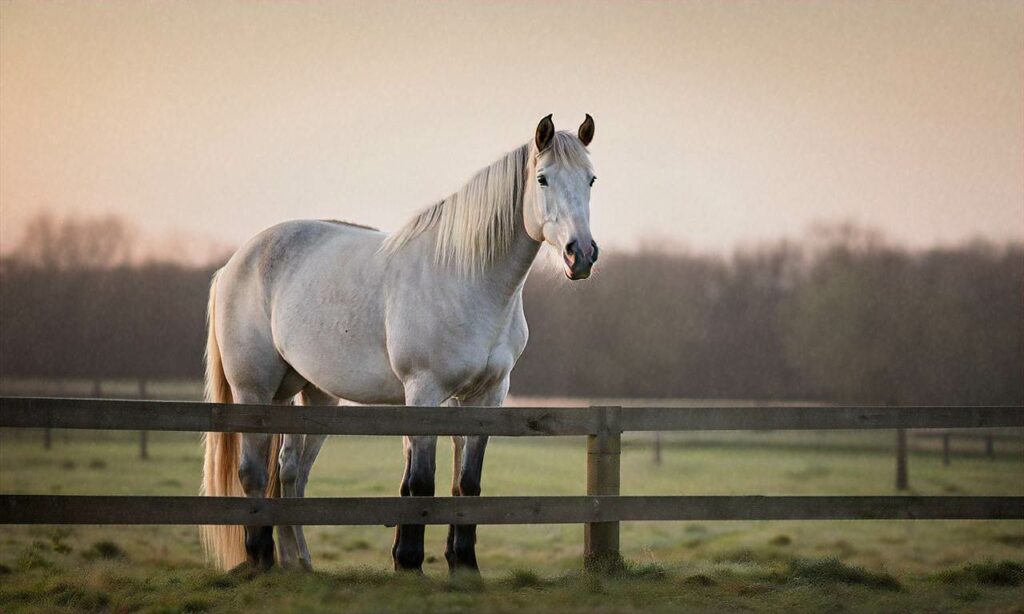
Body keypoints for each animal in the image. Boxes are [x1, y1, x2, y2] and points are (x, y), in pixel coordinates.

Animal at [200, 114, 598, 568]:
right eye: (543, 178)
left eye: (591, 179)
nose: (581, 254)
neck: (466, 277)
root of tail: (235, 262)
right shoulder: (424, 393)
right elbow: (421, 484)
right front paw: (409, 561)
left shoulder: (486, 397)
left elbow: (467, 484)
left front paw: (464, 564)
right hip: (254, 389)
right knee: (252, 473)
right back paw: (260, 562)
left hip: (304, 395)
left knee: (289, 473)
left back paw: (297, 563)